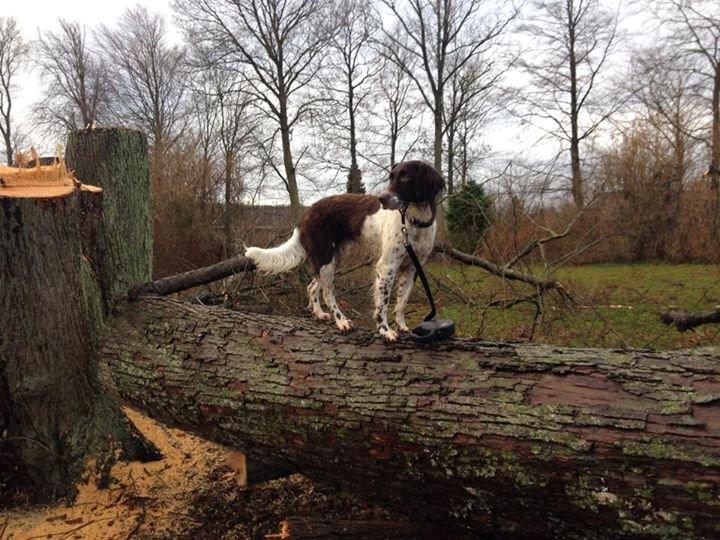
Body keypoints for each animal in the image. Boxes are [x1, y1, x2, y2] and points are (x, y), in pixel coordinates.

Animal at [245, 160, 442, 342]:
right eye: (391, 177)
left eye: (405, 177)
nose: (382, 199)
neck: (415, 222)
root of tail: (307, 213)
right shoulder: (387, 266)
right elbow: (383, 304)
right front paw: (385, 331)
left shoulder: (412, 268)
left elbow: (402, 302)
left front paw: (402, 326)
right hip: (326, 259)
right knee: (327, 293)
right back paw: (341, 321)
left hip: (331, 259)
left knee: (312, 286)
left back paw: (319, 313)